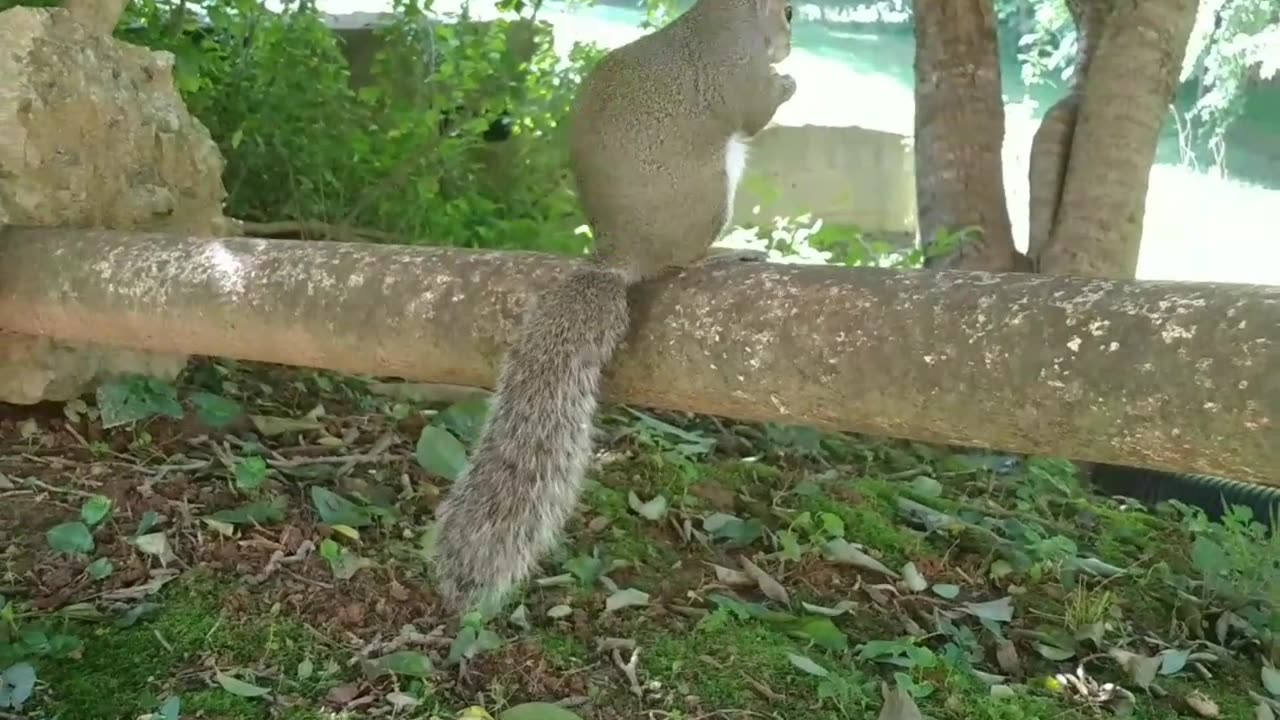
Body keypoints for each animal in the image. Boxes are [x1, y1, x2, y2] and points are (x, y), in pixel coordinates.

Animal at [430, 0, 793, 609]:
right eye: (788, 13)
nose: (790, 47)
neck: (725, 14)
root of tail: (621, 254)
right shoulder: (735, 65)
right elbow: (753, 110)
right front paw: (787, 85)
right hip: (711, 195)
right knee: (685, 259)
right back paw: (724, 252)